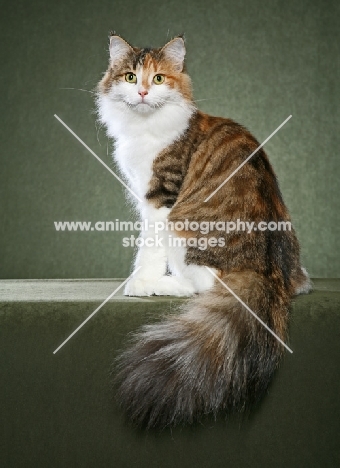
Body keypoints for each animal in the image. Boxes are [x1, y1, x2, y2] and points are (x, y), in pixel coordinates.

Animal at [95, 33, 310, 428]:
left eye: (158, 79)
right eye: (131, 77)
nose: (143, 92)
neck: (144, 127)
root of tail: (268, 272)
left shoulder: (159, 197)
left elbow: (148, 249)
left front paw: (140, 281)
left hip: (183, 230)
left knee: (202, 285)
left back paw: (162, 286)